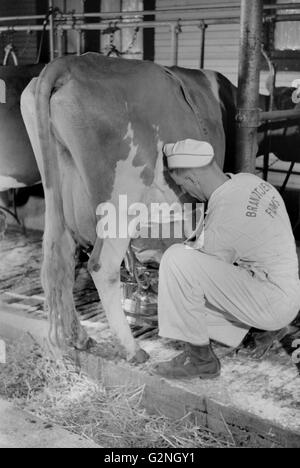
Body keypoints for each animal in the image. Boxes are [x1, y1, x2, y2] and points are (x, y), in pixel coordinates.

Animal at [20, 54, 298, 362]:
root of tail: (69, 64)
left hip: (57, 195)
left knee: (61, 259)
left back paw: (80, 338)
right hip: (120, 204)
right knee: (101, 266)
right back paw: (133, 350)